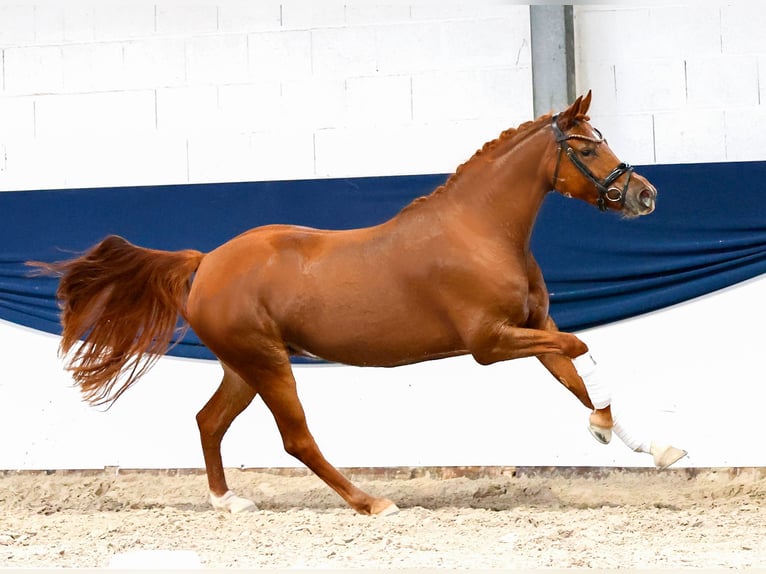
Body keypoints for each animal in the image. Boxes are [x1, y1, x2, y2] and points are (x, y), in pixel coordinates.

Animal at [30, 92, 684, 516]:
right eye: (587, 148)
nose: (646, 195)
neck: (480, 231)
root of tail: (205, 261)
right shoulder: (490, 343)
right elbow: (583, 351)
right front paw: (602, 429)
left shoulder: (533, 326)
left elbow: (575, 374)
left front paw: (654, 447)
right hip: (268, 363)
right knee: (296, 439)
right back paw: (371, 503)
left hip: (245, 364)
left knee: (209, 420)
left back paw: (228, 502)